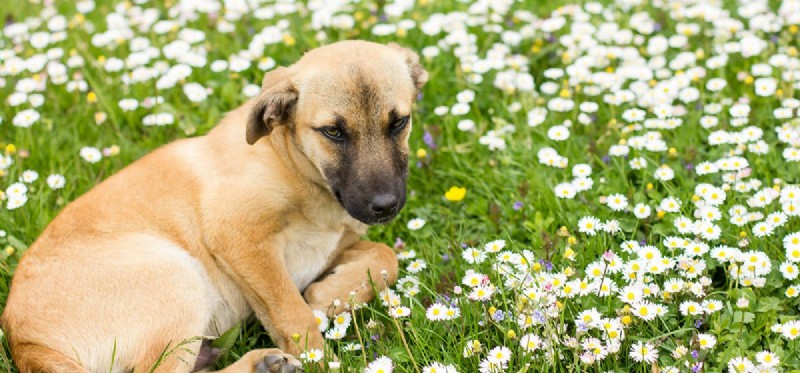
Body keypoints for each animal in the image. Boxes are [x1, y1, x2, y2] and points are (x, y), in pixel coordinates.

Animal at [3, 40, 428, 372]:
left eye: (399, 123)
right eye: (334, 132)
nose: (385, 206)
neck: (293, 164)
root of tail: (26, 343)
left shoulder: (331, 243)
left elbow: (386, 255)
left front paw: (331, 294)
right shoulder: (238, 236)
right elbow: (290, 310)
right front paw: (318, 350)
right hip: (178, 278)